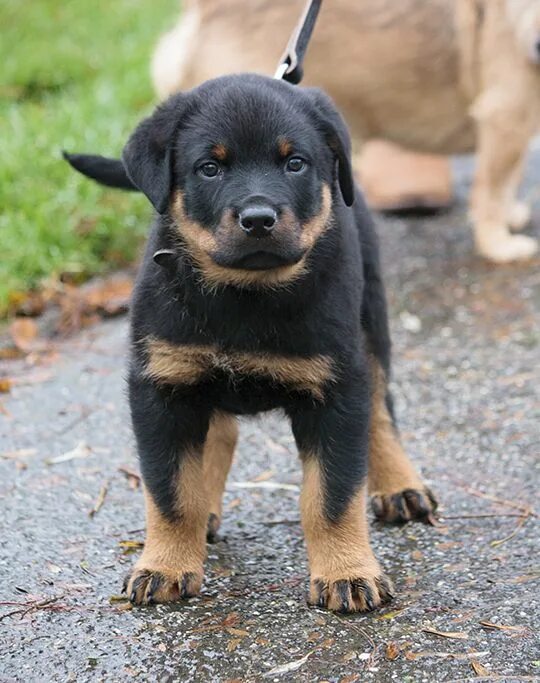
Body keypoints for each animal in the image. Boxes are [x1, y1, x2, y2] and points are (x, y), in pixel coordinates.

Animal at [66, 76, 438, 616]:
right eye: (210, 167)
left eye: (295, 163)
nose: (258, 219)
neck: (244, 295)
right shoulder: (162, 385)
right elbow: (171, 493)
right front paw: (165, 565)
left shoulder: (336, 388)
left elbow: (332, 495)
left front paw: (347, 573)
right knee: (219, 434)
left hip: (370, 318)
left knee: (380, 409)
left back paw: (400, 485)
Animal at [151, 0, 540, 264]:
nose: (536, 46)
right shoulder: (505, 118)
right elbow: (492, 191)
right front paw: (497, 245)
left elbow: (508, 181)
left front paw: (510, 217)